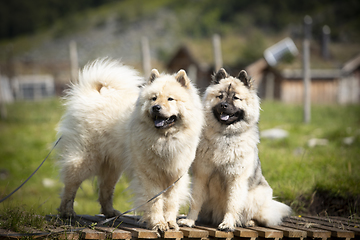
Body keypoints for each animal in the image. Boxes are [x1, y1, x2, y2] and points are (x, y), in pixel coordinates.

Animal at [179, 68, 292, 232]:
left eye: (236, 98)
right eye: (220, 96)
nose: (224, 105)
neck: (224, 136)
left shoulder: (236, 179)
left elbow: (232, 204)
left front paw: (228, 223)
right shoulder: (201, 176)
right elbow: (195, 201)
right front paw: (189, 220)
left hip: (257, 196)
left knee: (257, 216)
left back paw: (249, 222)